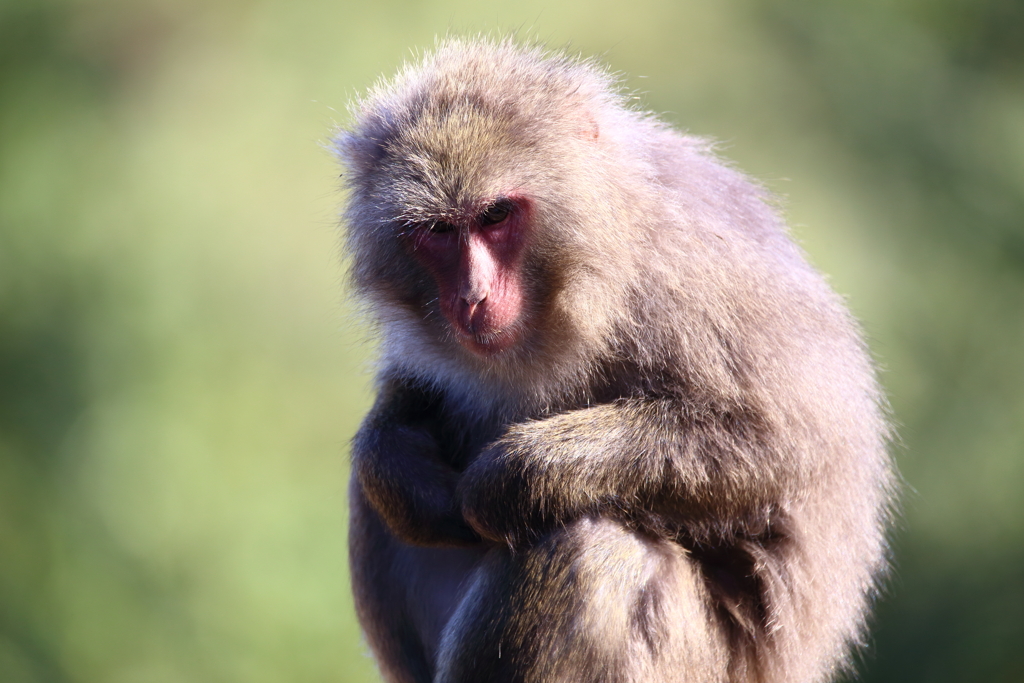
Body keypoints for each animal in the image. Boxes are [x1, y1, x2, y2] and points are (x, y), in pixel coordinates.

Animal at [331, 38, 892, 683]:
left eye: (496, 216)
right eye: (438, 231)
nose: (471, 297)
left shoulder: (687, 276)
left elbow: (781, 447)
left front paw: (513, 476)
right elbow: (408, 403)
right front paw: (399, 465)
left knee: (596, 552)